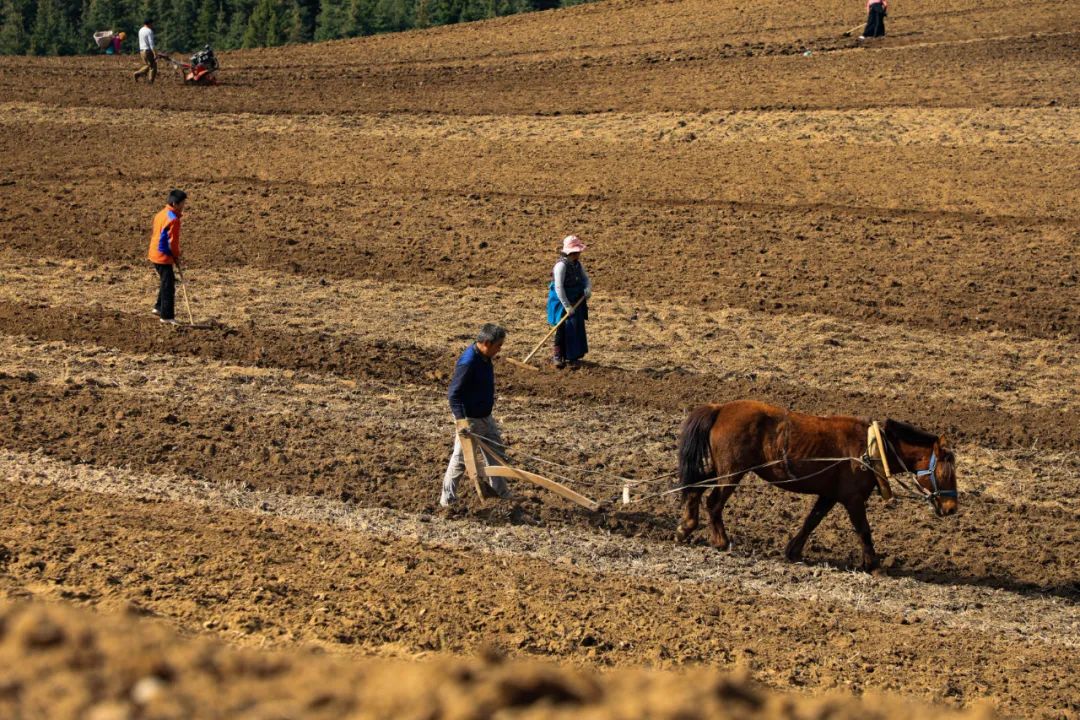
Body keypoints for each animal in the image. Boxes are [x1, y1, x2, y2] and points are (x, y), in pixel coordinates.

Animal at [678, 397, 959, 569]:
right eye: (946, 471)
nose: (951, 508)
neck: (869, 448)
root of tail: (721, 408)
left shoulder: (829, 495)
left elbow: (811, 521)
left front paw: (792, 552)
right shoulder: (853, 499)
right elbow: (863, 530)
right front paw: (874, 566)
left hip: (722, 469)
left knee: (695, 488)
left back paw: (685, 527)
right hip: (732, 473)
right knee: (713, 502)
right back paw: (720, 541)